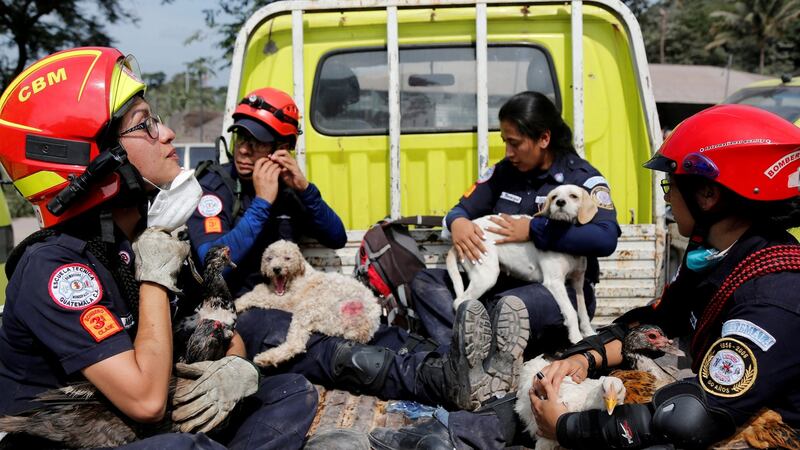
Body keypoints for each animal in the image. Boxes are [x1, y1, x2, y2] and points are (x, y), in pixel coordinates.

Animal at [234, 241, 382, 368]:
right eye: (269, 258)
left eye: (287, 258)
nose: (276, 269)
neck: (300, 275)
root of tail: (363, 329)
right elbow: (262, 289)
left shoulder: (290, 300)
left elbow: (260, 296)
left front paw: (238, 303)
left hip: (310, 307)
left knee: (296, 344)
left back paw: (267, 358)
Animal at [446, 185, 596, 342]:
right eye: (554, 197)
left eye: (573, 196)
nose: (560, 202)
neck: (564, 235)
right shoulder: (554, 282)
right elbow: (571, 311)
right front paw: (577, 338)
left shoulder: (578, 281)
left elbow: (583, 311)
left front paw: (588, 333)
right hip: (486, 276)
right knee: (459, 302)